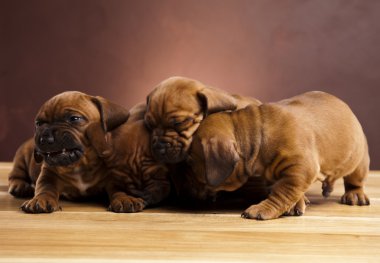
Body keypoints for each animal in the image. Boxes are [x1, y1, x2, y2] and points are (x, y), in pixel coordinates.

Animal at [186, 92, 370, 220]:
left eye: (191, 160)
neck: (256, 133)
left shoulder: (300, 170)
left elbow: (282, 194)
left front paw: (263, 209)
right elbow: (283, 191)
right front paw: (297, 203)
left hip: (359, 161)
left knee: (354, 180)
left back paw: (355, 194)